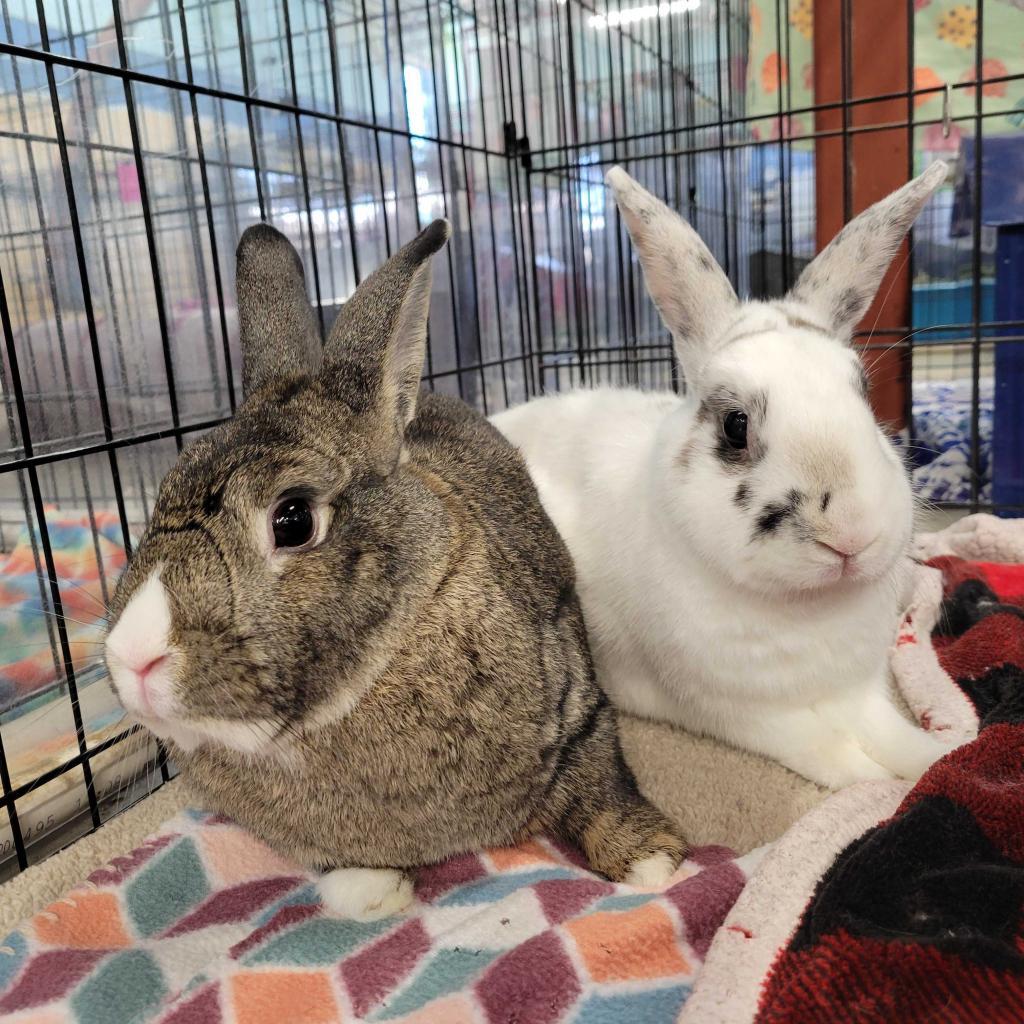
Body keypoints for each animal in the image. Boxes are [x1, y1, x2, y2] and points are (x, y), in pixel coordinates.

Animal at [102, 218, 687, 921]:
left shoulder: (580, 709)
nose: (132, 658)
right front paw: (370, 894)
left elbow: (601, 788)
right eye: (160, 493)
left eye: (292, 520)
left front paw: (653, 863)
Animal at [492, 162, 957, 790]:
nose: (851, 536)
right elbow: (834, 755)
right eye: (736, 427)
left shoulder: (860, 690)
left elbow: (895, 736)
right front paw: (882, 786)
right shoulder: (747, 716)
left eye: (862, 394)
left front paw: (940, 757)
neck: (808, 607)